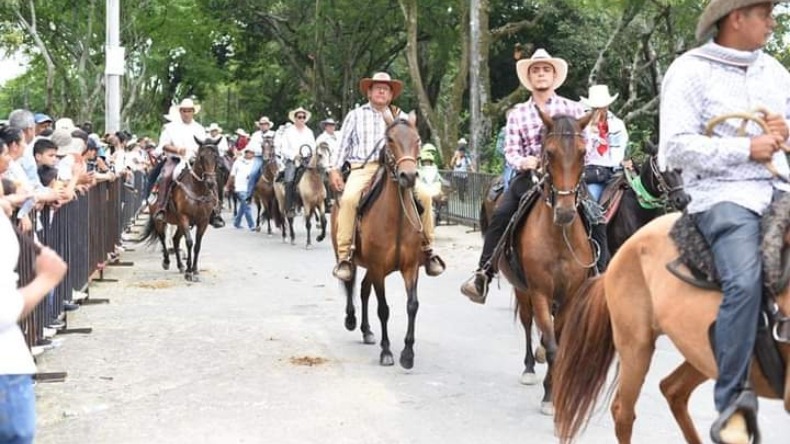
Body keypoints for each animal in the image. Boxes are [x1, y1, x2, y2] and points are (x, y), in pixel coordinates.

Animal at [141, 140, 221, 282]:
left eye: (216, 157)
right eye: (201, 157)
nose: (210, 182)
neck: (198, 190)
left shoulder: (203, 221)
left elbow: (197, 245)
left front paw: (194, 270)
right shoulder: (184, 217)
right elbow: (189, 242)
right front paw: (189, 272)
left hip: (179, 224)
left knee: (175, 240)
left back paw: (180, 265)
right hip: (161, 221)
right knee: (163, 237)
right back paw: (167, 262)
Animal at [330, 110, 426, 368]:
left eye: (417, 140)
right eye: (390, 139)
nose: (408, 176)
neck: (396, 220)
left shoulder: (410, 266)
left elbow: (412, 305)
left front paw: (408, 353)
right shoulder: (378, 267)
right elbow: (383, 308)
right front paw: (387, 352)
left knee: (363, 290)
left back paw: (366, 330)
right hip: (352, 259)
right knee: (351, 283)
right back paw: (352, 320)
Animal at [498, 109, 592, 414]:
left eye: (583, 152)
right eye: (549, 153)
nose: (565, 213)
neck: (559, 238)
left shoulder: (570, 295)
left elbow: (559, 339)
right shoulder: (539, 291)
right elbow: (552, 344)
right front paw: (550, 396)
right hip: (522, 289)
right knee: (529, 323)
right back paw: (530, 366)